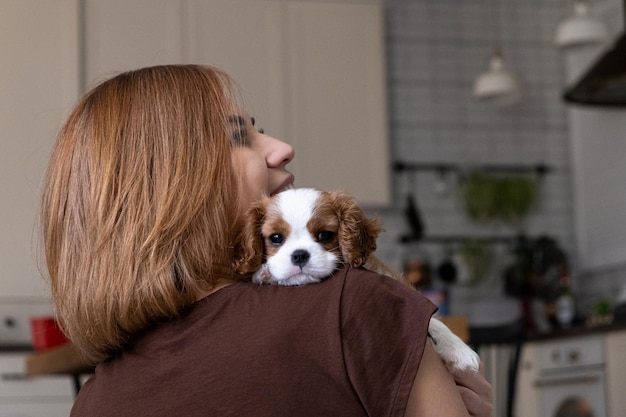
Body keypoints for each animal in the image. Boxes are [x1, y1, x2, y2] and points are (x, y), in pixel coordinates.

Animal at [234, 187, 478, 372]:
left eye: (325, 235)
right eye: (276, 238)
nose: (300, 255)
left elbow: (434, 321)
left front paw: (458, 349)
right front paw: (264, 274)